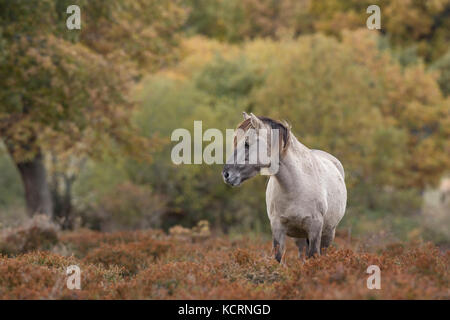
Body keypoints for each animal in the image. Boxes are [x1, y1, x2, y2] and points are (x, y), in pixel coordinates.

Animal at [222, 111, 348, 262]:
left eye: (247, 143)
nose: (226, 174)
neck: (295, 187)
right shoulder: (278, 229)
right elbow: (278, 258)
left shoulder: (315, 229)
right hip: (300, 238)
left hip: (328, 234)